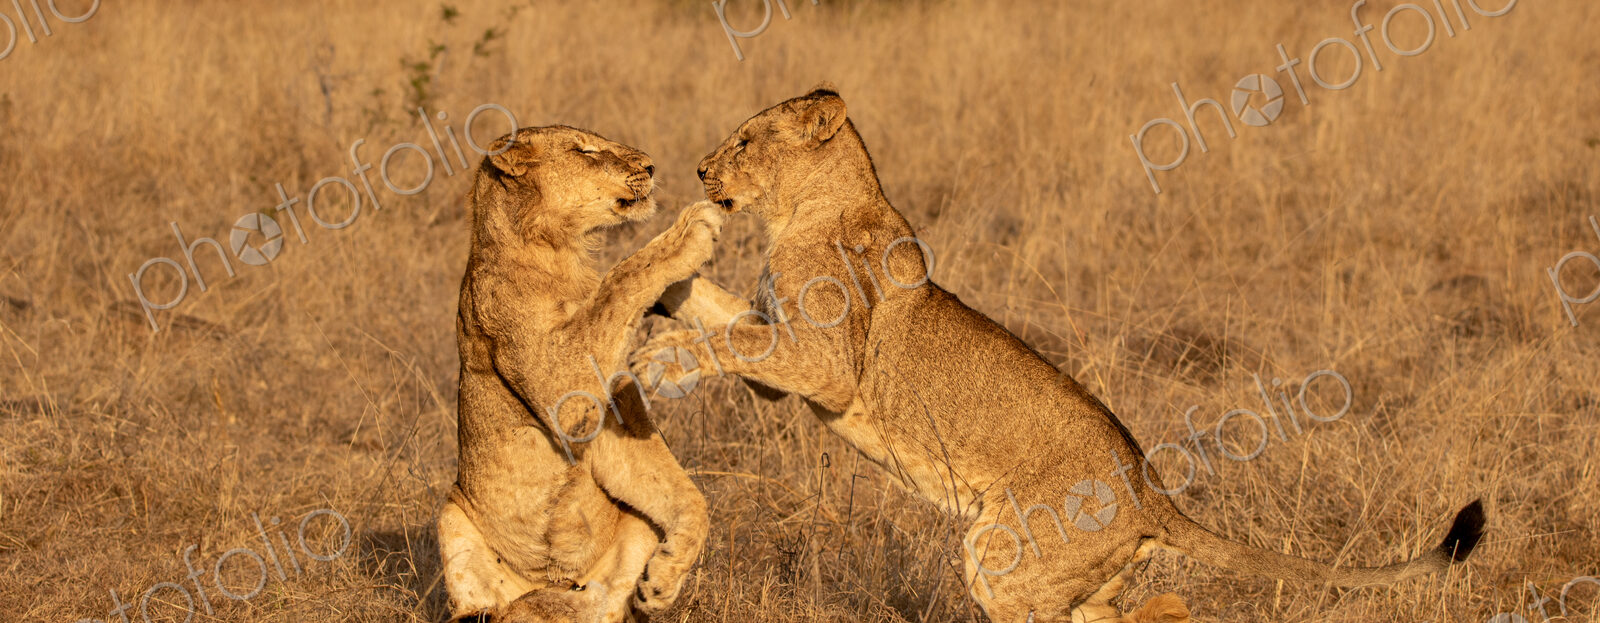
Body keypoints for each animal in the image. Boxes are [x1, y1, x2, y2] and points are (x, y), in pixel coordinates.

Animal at [439, 125, 719, 622]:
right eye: (585, 150)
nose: (651, 166)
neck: (559, 252)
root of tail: (543, 582)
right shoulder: (560, 385)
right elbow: (621, 279)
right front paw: (690, 232)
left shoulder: (607, 410)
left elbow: (684, 494)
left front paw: (665, 578)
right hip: (450, 511)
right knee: (481, 604)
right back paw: (496, 611)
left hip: (626, 536)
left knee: (600, 602)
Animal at [636, 88, 1487, 622]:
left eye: (747, 139)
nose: (701, 171)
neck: (805, 207)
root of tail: (1150, 491)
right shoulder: (777, 349)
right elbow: (711, 307)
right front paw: (657, 289)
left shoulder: (825, 369)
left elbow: (719, 337)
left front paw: (660, 357)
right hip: (1071, 578)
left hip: (1001, 555)